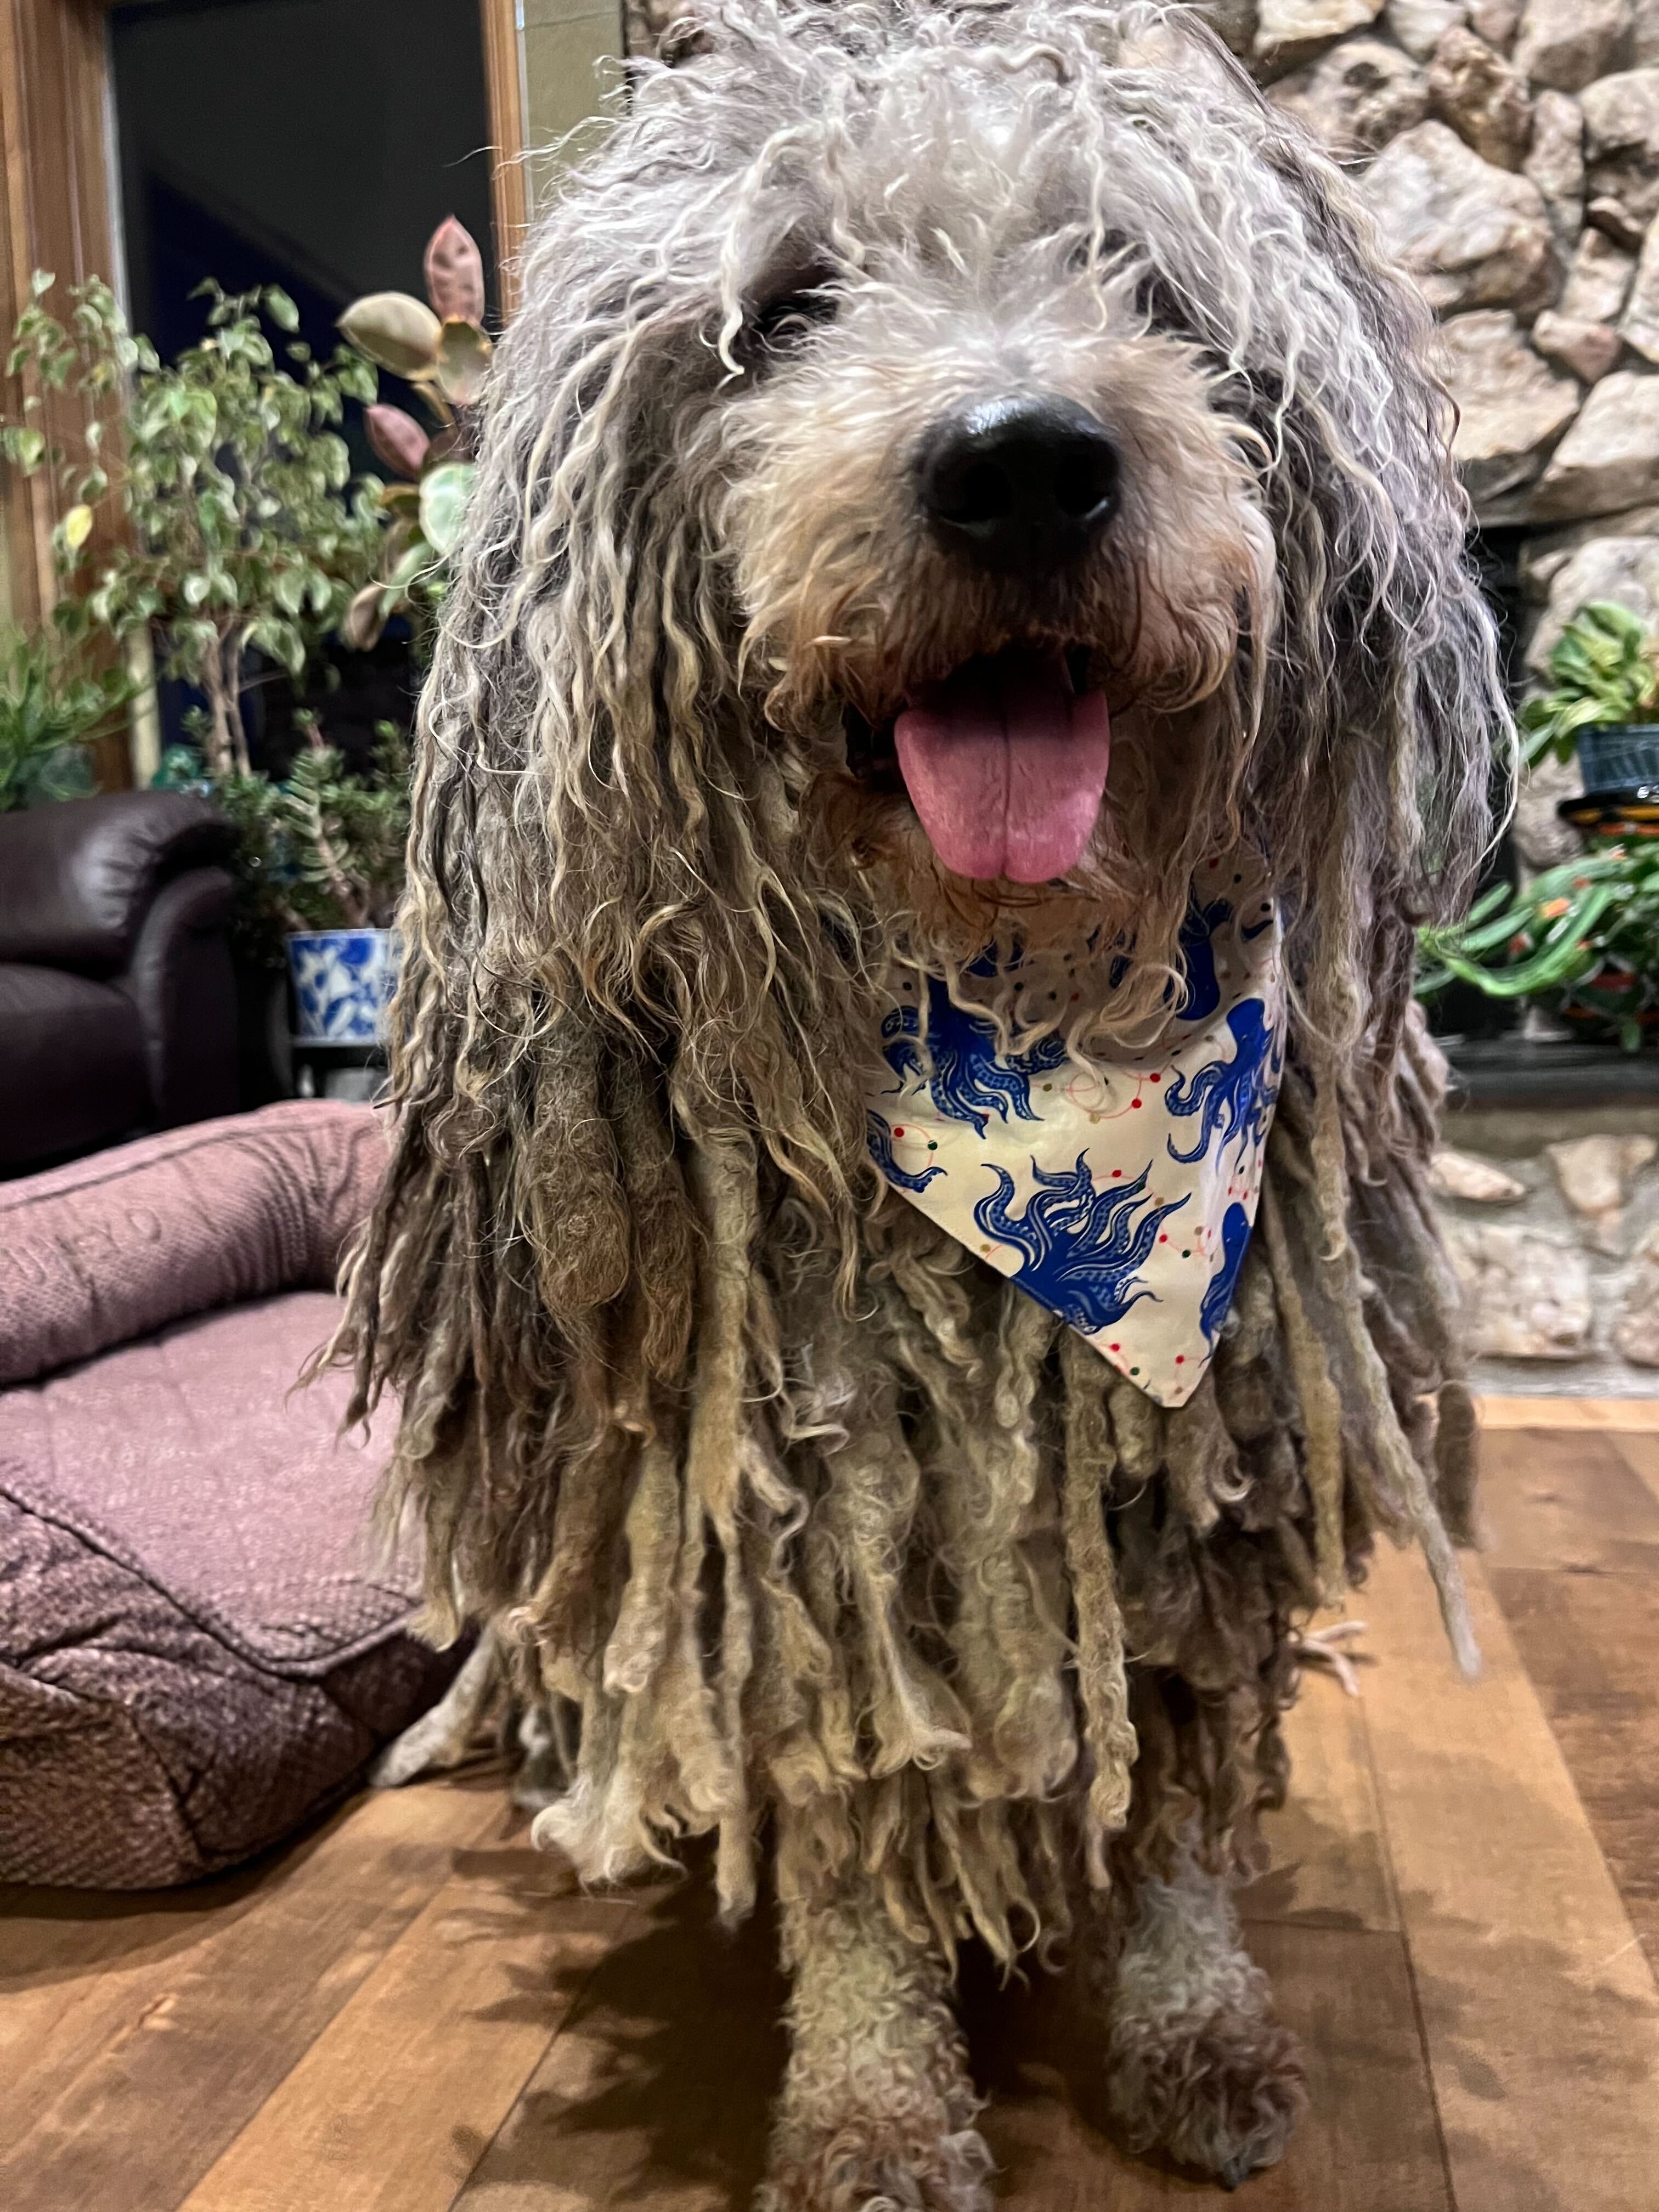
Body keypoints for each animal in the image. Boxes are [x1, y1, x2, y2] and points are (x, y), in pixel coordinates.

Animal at [340, 4, 1522, 2194]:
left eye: (1144, 284)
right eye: (792, 304)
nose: (1024, 462)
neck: (1015, 1001)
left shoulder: (1190, 1468)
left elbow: (1166, 1756)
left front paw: (1195, 2024)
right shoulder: (793, 1513)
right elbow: (848, 1827)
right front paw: (873, 2106)